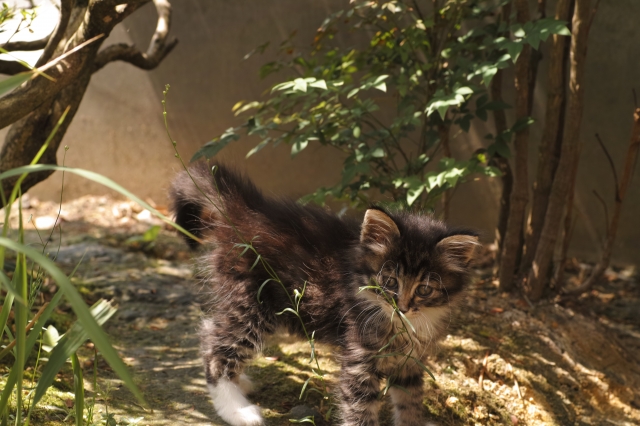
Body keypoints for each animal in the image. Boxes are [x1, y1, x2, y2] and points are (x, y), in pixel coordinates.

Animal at [171, 163, 480, 426]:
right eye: (389, 281)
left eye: (424, 289)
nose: (401, 307)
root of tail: (245, 212)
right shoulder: (359, 356)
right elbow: (360, 408)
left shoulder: (409, 360)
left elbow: (411, 399)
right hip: (252, 303)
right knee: (212, 343)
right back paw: (237, 409)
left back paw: (240, 381)